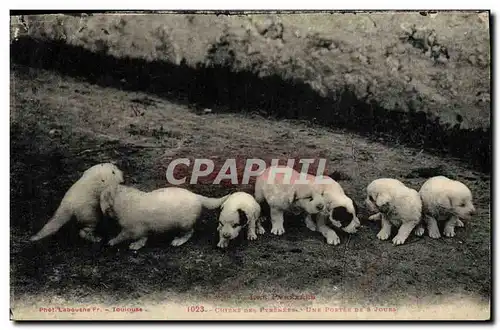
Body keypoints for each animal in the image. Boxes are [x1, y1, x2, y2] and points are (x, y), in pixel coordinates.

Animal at [100, 183, 229, 250]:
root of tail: (197, 196)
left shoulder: (132, 229)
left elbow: (123, 236)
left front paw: (113, 241)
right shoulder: (142, 228)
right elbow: (144, 237)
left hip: (184, 224)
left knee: (189, 232)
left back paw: (178, 241)